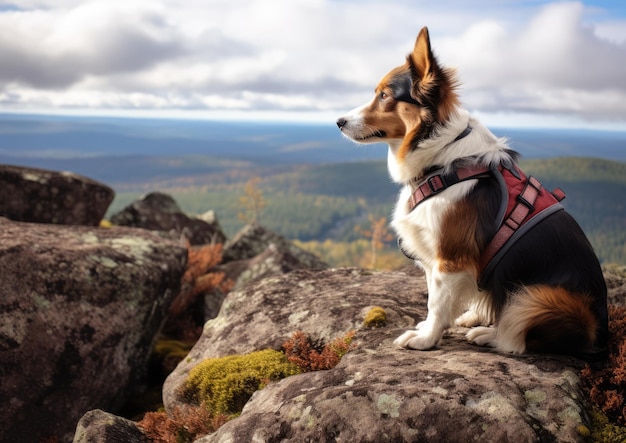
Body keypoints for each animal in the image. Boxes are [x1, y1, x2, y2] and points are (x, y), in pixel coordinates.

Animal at [336, 26, 604, 360]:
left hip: (539, 297)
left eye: (384, 95)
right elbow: (436, 299)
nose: (339, 122)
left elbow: (436, 303)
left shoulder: (450, 256)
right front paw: (431, 328)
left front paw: (426, 339)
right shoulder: (435, 256)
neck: (442, 158)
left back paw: (490, 334)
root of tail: (599, 334)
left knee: (520, 336)